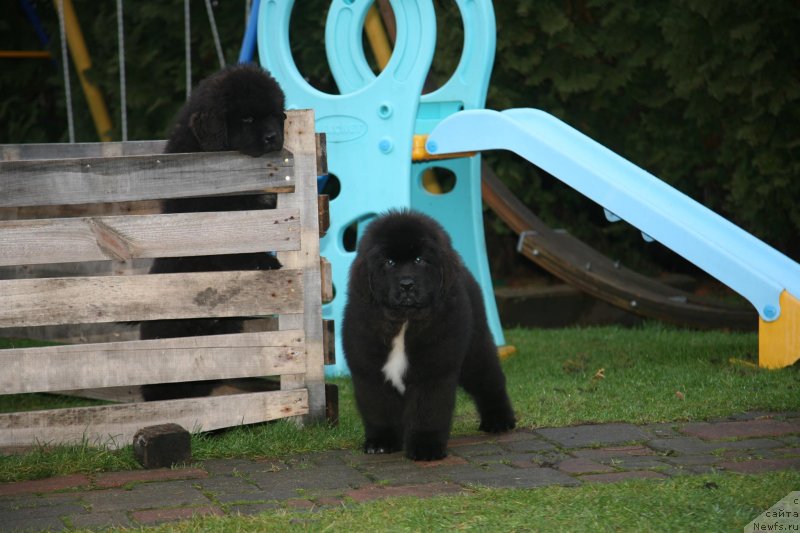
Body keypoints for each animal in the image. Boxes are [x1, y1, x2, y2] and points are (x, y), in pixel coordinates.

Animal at [141, 64, 288, 400]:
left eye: (275, 115)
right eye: (246, 118)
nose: (273, 137)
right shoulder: (216, 222)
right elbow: (237, 250)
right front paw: (266, 263)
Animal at [340, 210, 516, 460]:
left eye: (419, 260)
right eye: (389, 263)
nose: (406, 284)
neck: (404, 321)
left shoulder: (434, 370)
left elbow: (428, 411)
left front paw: (426, 447)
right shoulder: (370, 372)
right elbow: (379, 409)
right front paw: (382, 442)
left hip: (474, 347)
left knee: (489, 380)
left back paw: (499, 420)